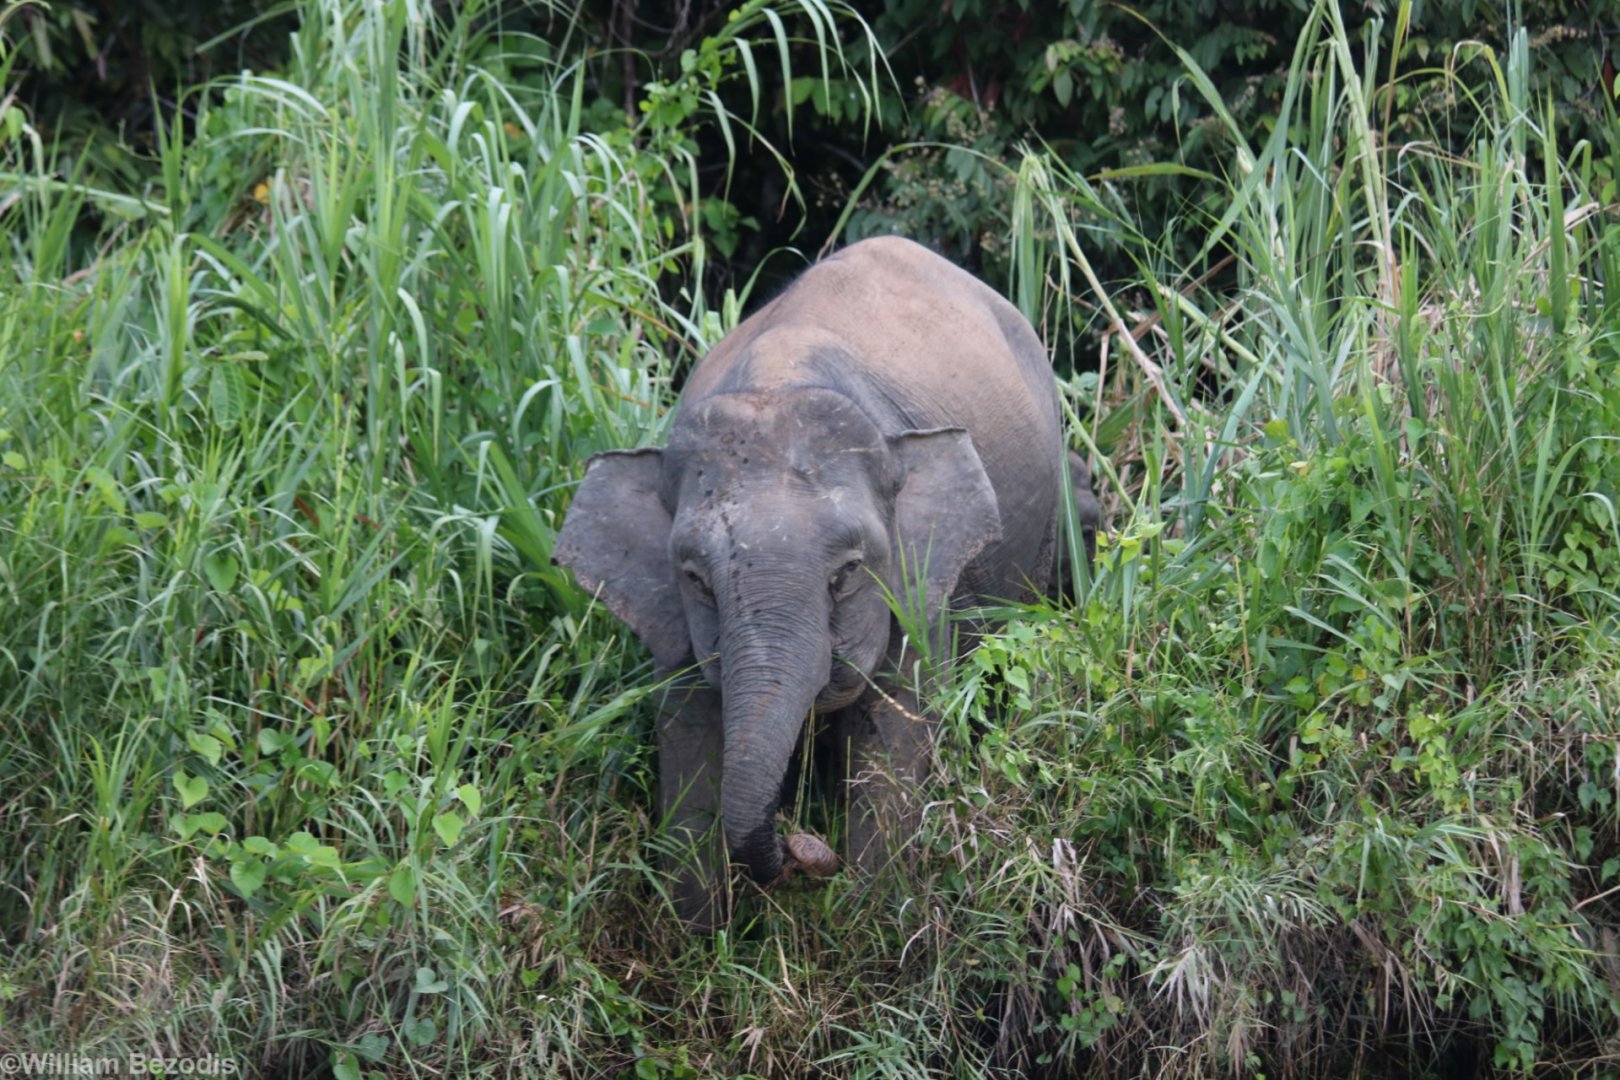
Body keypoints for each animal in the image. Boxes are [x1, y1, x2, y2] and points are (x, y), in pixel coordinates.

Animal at [554, 235, 1091, 928]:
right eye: (696, 579)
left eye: (848, 572)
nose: (801, 846)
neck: (778, 382)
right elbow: (690, 740)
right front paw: (698, 933)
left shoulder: (918, 592)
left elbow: (894, 735)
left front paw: (873, 924)